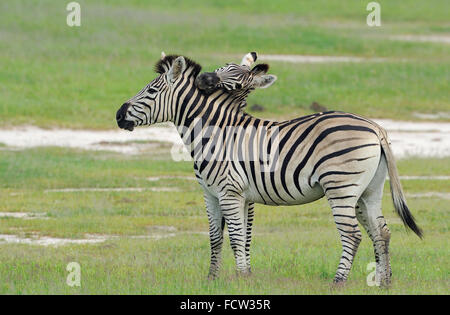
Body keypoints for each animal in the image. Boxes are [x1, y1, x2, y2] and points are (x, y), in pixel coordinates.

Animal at [116, 51, 422, 286]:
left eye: (151, 91)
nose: (118, 115)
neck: (215, 133)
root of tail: (375, 127)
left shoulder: (230, 192)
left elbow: (236, 237)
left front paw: (240, 280)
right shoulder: (213, 194)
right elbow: (218, 238)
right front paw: (214, 280)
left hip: (341, 187)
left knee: (352, 235)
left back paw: (338, 282)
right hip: (368, 190)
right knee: (381, 231)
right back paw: (383, 282)